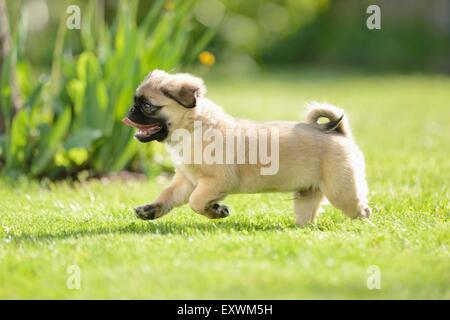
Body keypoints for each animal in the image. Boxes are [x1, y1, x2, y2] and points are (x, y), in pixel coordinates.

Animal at [121, 70, 370, 226]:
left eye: (147, 106)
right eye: (135, 102)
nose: (129, 111)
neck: (193, 128)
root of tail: (339, 133)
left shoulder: (215, 182)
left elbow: (196, 202)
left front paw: (217, 211)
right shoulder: (186, 180)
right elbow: (168, 195)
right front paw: (150, 210)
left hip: (341, 191)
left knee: (362, 210)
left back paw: (361, 229)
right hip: (306, 195)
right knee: (307, 216)